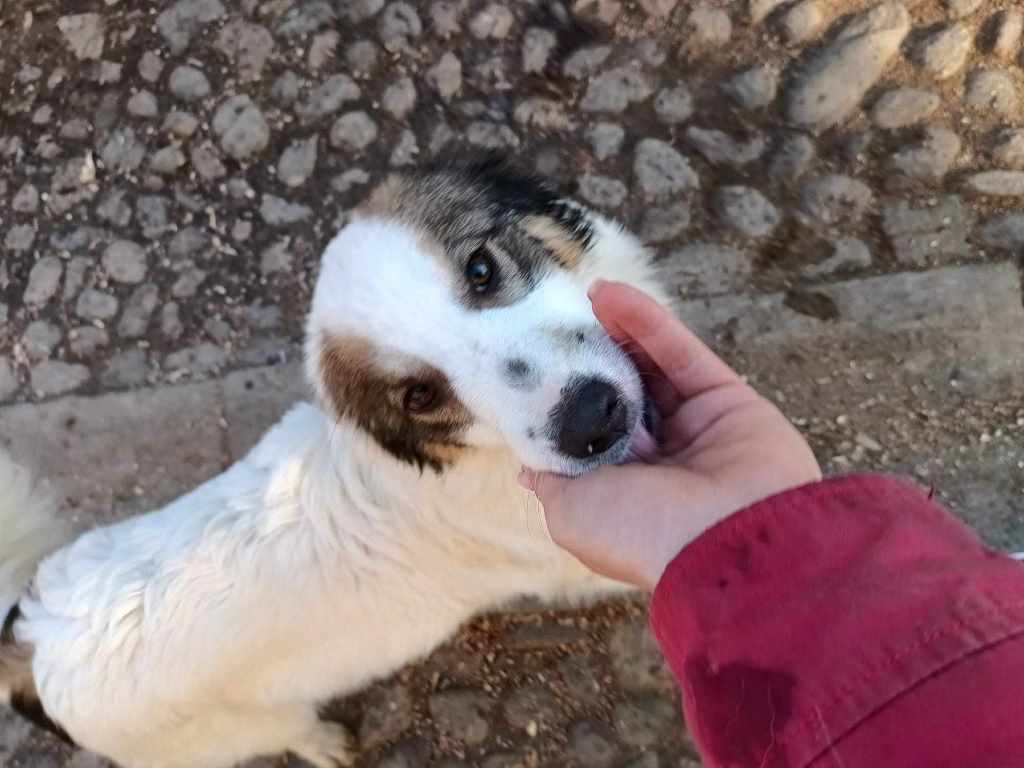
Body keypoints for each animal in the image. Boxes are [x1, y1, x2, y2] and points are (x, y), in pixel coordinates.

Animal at [0, 157, 667, 768]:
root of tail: (27, 643)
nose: (591, 420)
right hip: (236, 733)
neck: (476, 456)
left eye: (480, 269)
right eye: (419, 396)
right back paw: (326, 745)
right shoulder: (588, 568)